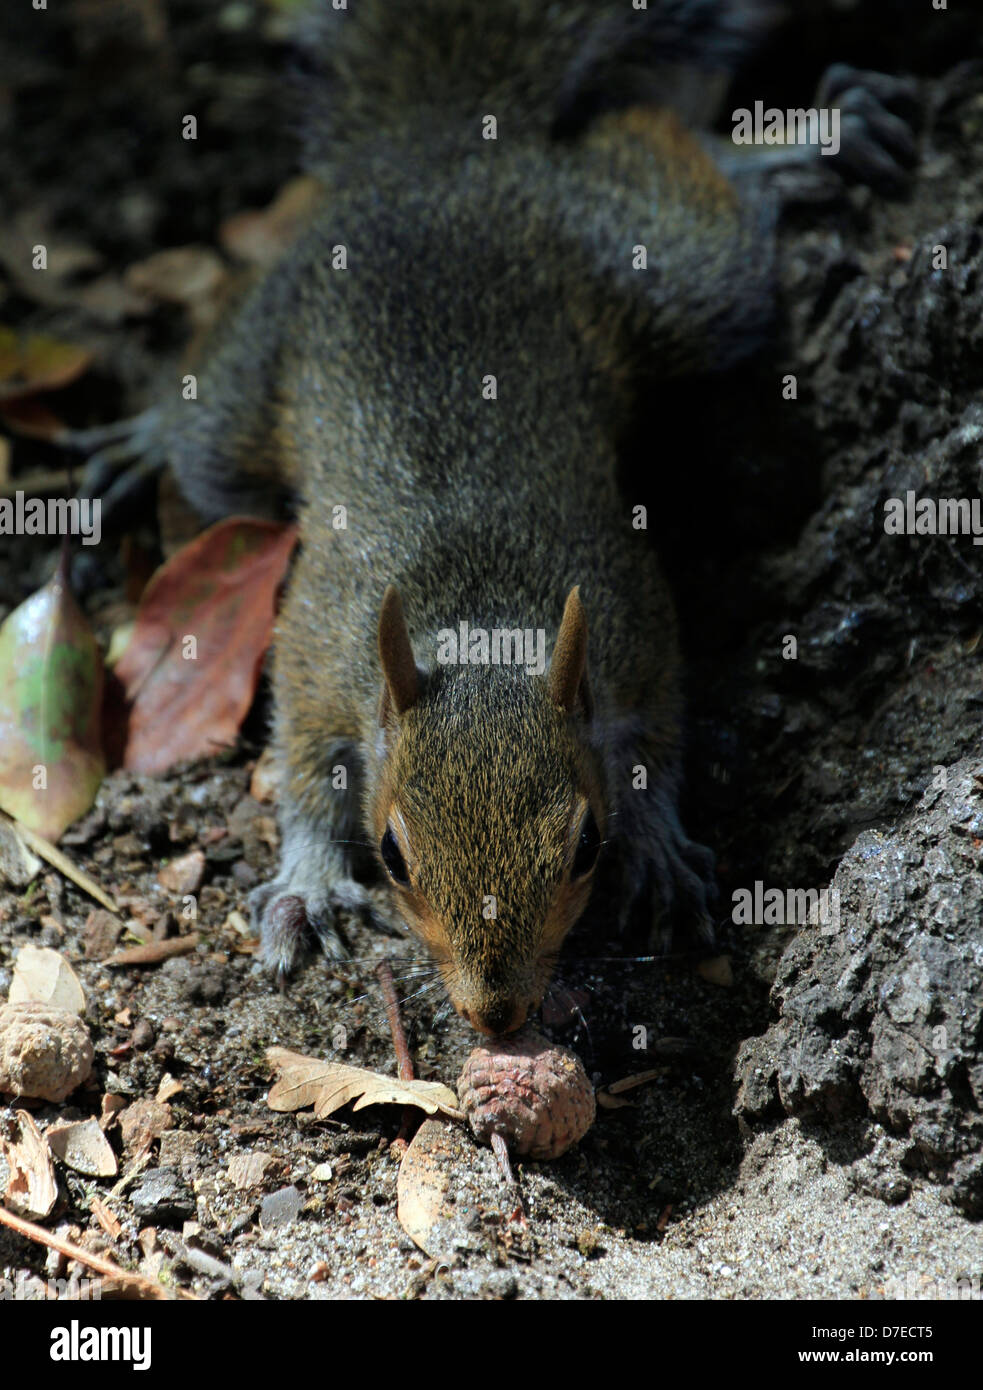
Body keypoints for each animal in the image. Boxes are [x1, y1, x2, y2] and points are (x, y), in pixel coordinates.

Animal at [83, 0, 917, 1035]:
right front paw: (308, 885)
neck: (479, 613)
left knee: (678, 177)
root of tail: (437, 157)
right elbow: (303, 770)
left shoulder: (635, 634)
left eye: (587, 844)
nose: (497, 1015)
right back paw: (144, 437)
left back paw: (796, 145)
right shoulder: (317, 653)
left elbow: (656, 742)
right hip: (252, 384)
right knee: (205, 415)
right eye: (390, 856)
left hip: (664, 274)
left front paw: (655, 845)